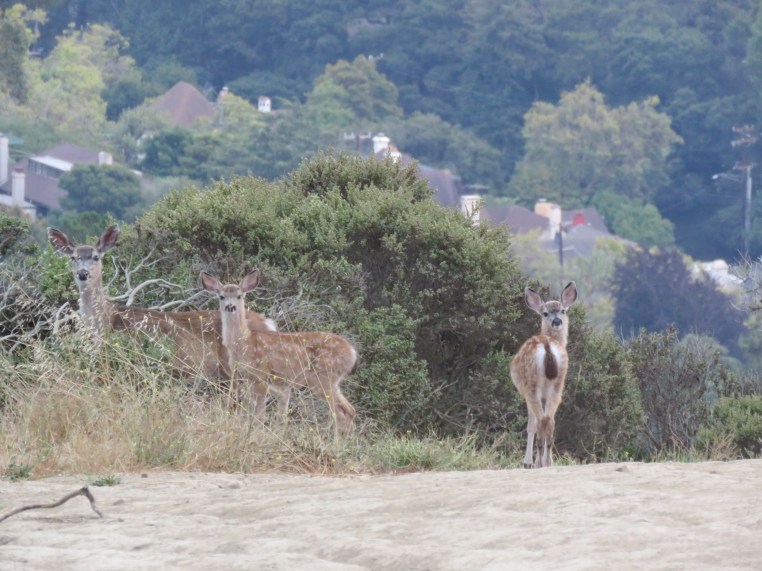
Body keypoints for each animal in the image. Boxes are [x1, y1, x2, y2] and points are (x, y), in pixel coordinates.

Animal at [201, 271, 357, 436]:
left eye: (239, 296)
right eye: (221, 296)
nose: (230, 307)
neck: (244, 342)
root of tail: (353, 353)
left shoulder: (261, 376)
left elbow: (259, 414)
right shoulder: (246, 377)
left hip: (323, 376)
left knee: (340, 413)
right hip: (332, 381)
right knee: (350, 410)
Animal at [510, 281, 578, 468]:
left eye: (563, 310)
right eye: (545, 313)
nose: (557, 321)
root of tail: (547, 347)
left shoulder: (526, 394)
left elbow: (530, 426)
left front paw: (527, 462)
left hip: (531, 384)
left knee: (541, 420)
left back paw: (539, 463)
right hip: (558, 384)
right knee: (550, 420)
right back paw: (548, 462)